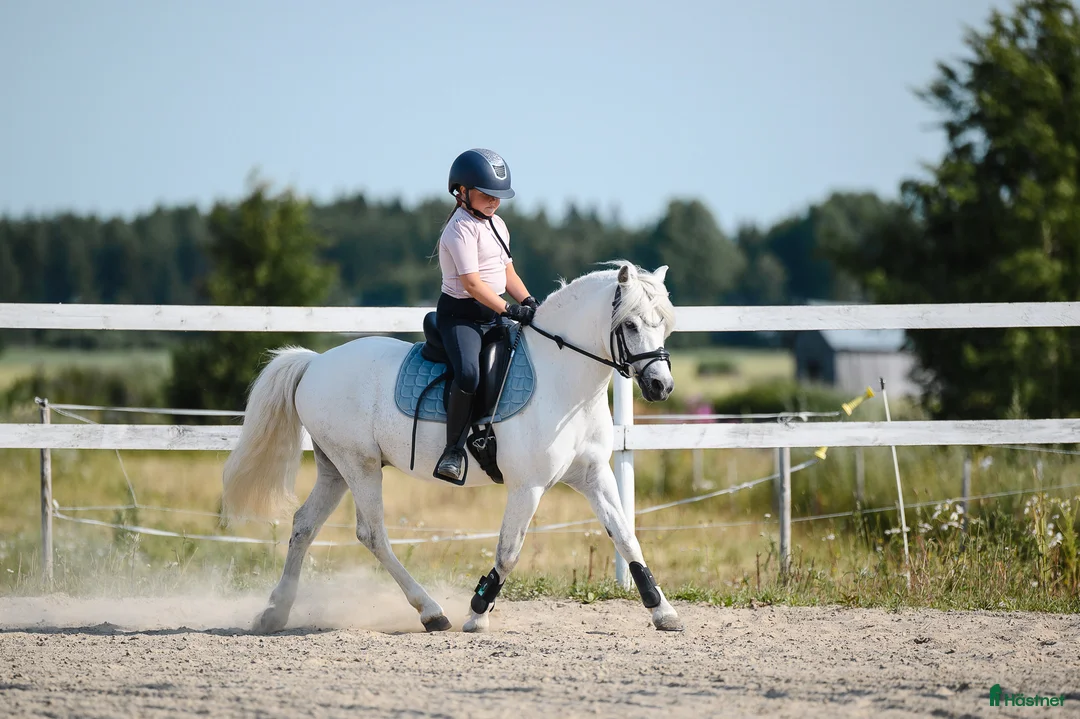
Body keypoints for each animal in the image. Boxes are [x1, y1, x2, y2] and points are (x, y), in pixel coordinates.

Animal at [220, 261, 684, 633]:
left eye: (663, 325)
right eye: (630, 325)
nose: (660, 386)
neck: (563, 380)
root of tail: (315, 361)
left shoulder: (593, 476)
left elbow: (626, 536)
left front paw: (662, 611)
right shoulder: (527, 487)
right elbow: (508, 551)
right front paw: (478, 612)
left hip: (334, 468)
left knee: (304, 524)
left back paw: (275, 613)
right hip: (360, 465)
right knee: (373, 534)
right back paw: (431, 612)